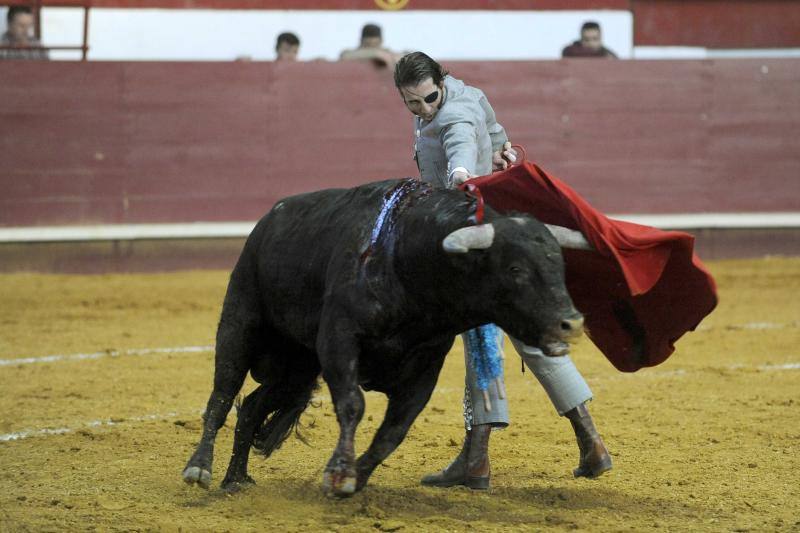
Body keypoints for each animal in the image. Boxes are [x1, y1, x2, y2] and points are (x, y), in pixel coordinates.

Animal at [184, 178, 584, 494]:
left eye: (560, 265)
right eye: (515, 269)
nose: (572, 323)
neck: (408, 257)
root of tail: (269, 219)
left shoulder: (424, 369)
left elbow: (393, 432)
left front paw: (355, 478)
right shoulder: (339, 339)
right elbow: (353, 404)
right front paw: (339, 471)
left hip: (299, 366)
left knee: (252, 406)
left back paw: (235, 479)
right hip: (240, 321)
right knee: (221, 395)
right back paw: (200, 468)